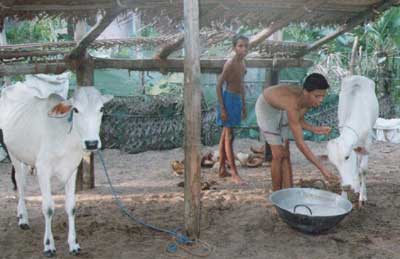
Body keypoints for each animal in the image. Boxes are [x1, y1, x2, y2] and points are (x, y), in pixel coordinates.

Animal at [0, 83, 112, 256]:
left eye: (101, 109)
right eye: (76, 110)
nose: (92, 143)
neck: (64, 138)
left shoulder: (72, 170)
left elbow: (71, 207)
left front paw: (74, 244)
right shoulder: (43, 170)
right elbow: (48, 208)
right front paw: (48, 245)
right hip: (13, 154)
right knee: (20, 183)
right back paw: (23, 218)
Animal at [326, 75, 380, 207]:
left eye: (346, 157)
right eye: (333, 164)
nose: (346, 186)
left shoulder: (368, 142)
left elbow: (363, 169)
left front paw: (362, 197)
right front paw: (344, 196)